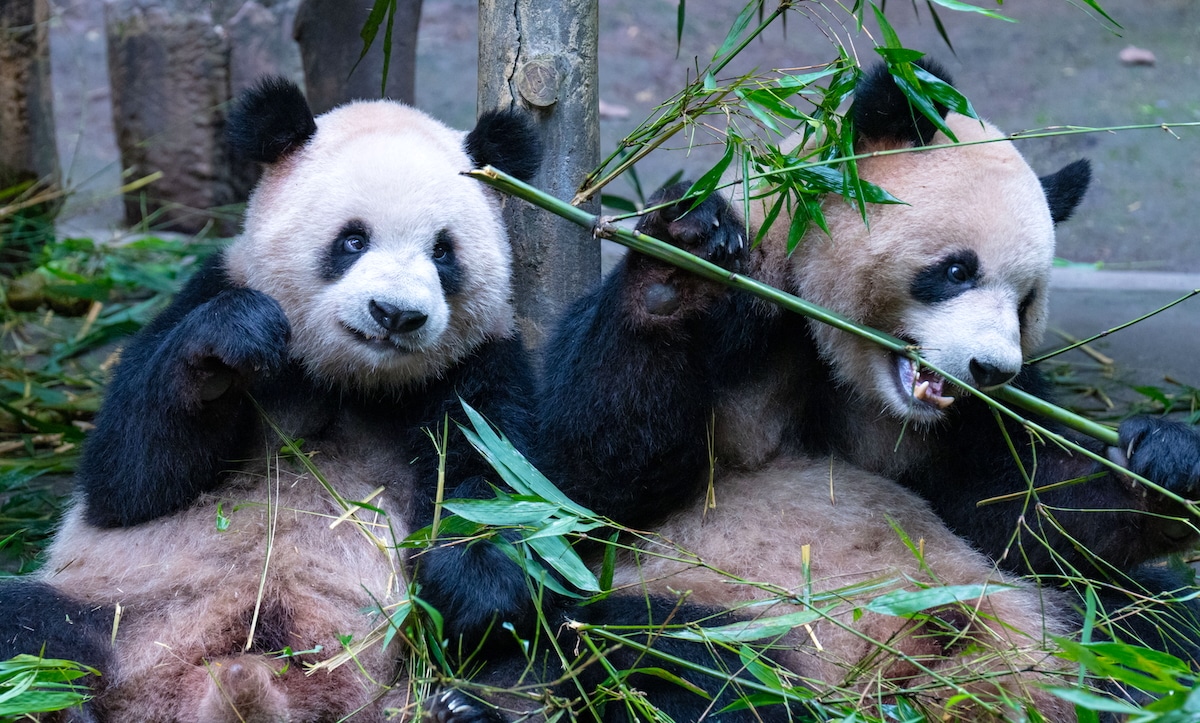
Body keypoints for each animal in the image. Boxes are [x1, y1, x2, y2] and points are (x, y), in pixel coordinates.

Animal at [0, 75, 544, 715]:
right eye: (352, 240)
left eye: (442, 251)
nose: (395, 314)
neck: (353, 380)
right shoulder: (211, 287)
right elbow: (127, 480)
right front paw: (228, 346)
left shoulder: (478, 365)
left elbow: (502, 485)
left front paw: (473, 580)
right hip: (118, 613)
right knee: (31, 632)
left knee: (558, 646)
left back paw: (459, 707)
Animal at [540, 61, 1200, 662]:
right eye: (957, 271)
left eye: (1026, 302)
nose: (991, 371)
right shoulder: (749, 298)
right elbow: (588, 482)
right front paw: (679, 255)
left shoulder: (968, 425)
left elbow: (1013, 510)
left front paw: (1164, 462)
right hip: (712, 609)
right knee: (666, 653)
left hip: (1059, 617)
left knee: (1150, 622)